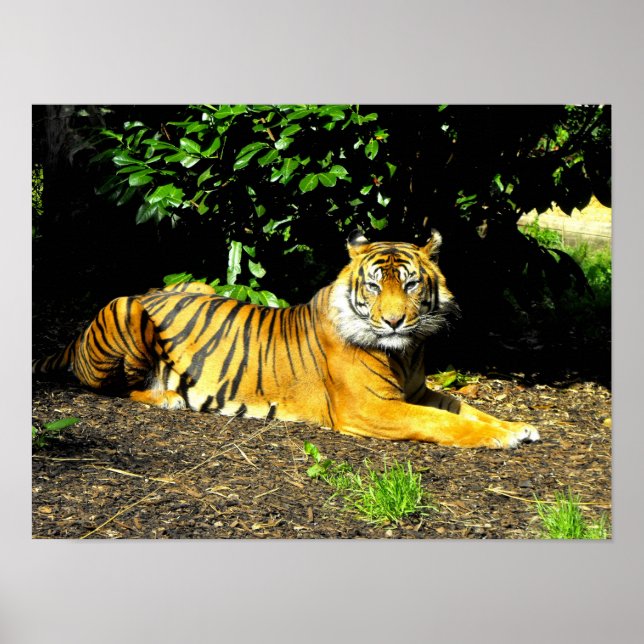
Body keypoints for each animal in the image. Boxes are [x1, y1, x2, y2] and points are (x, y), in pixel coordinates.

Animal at [33, 229, 540, 449]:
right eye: (375, 287)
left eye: (412, 284)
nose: (395, 322)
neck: (407, 353)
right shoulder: (371, 408)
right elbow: (442, 423)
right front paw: (502, 438)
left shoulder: (417, 391)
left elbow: (467, 409)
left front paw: (518, 426)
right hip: (126, 307)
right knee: (114, 387)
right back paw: (170, 399)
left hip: (196, 284)